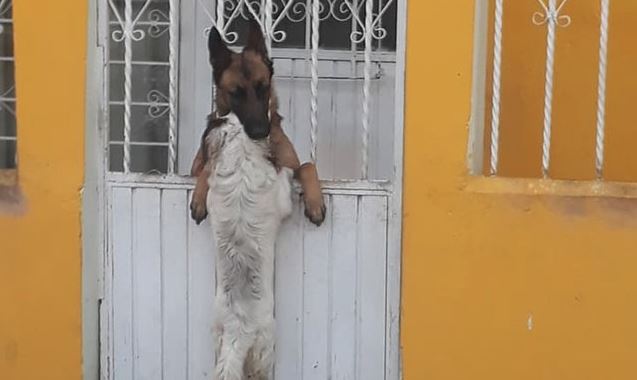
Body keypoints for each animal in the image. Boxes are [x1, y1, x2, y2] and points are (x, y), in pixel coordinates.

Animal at [186, 20, 326, 380]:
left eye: (263, 87)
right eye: (235, 92)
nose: (261, 131)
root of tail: (239, 331)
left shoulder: (290, 162)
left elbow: (308, 165)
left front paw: (315, 202)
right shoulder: (200, 165)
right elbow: (203, 170)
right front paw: (200, 196)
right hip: (263, 348)